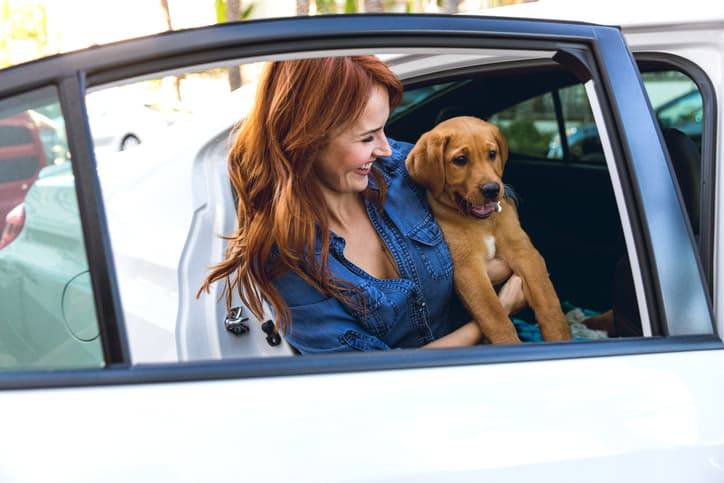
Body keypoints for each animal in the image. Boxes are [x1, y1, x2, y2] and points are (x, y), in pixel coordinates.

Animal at [408, 116, 572, 344]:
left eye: (492, 154)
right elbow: (495, 316)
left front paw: (559, 338)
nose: (492, 189)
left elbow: (547, 301)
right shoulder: (468, 268)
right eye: (460, 160)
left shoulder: (524, 251)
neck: (483, 223)